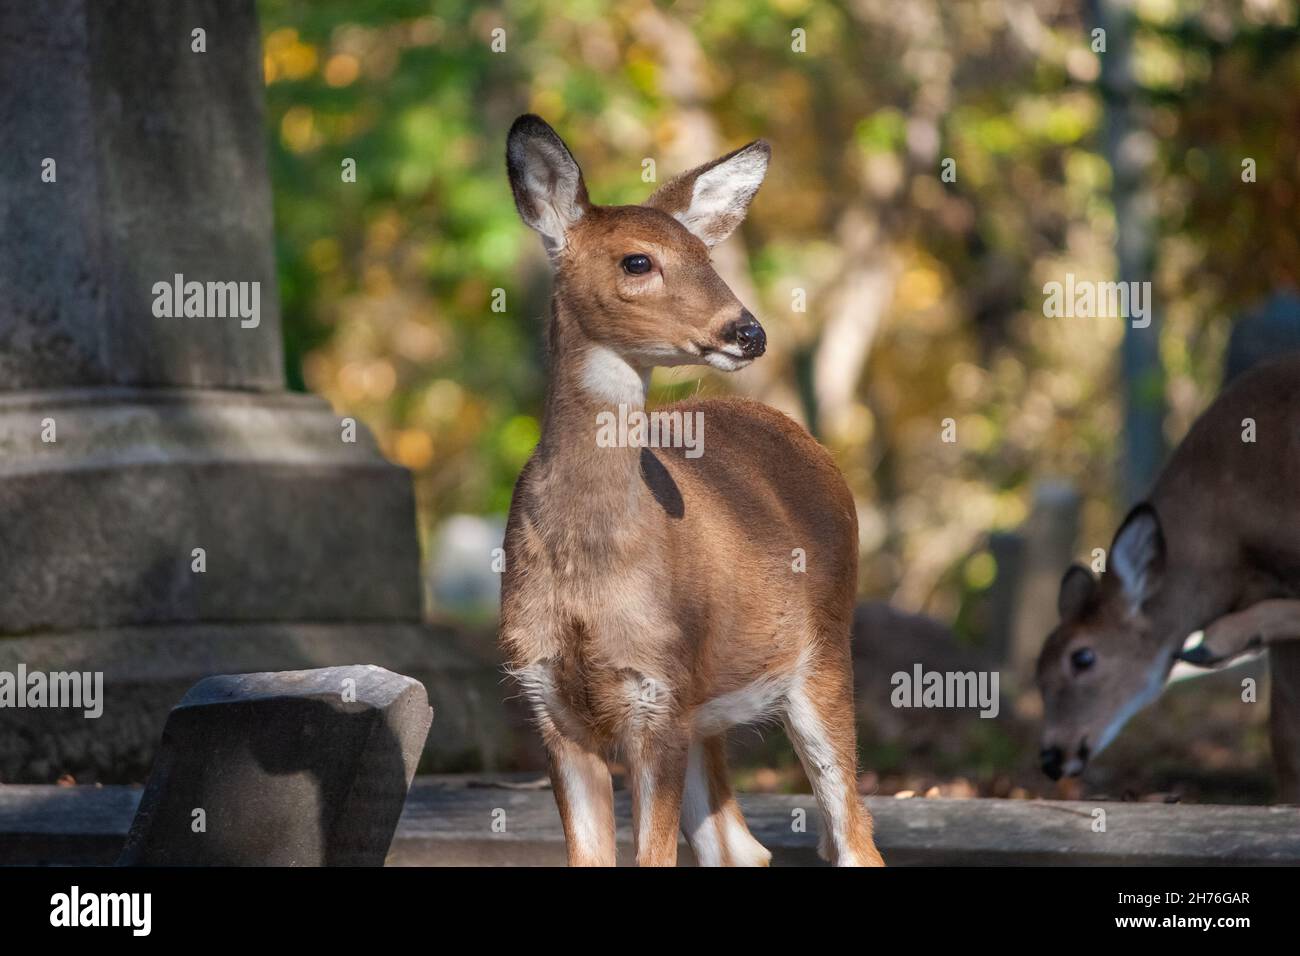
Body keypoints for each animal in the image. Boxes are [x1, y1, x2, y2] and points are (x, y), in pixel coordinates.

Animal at [496, 113, 883, 868]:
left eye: (708, 257)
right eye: (637, 262)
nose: (748, 331)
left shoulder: (660, 697)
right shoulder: (550, 702)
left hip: (823, 650)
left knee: (854, 835)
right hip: (711, 706)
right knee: (744, 847)